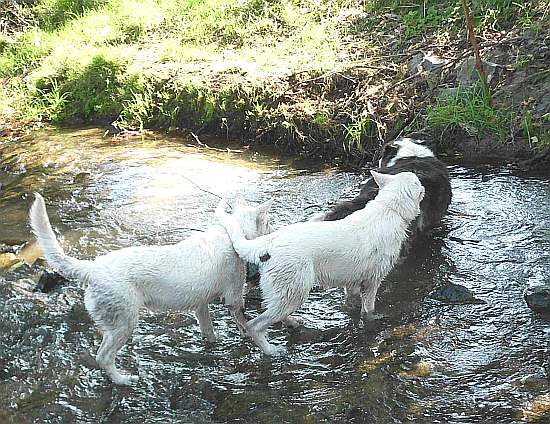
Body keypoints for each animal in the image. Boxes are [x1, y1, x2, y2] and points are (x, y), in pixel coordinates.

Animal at [28, 194, 274, 386]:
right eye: (269, 223)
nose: (274, 233)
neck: (230, 232)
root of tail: (92, 268)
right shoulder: (234, 297)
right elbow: (244, 322)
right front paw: (258, 341)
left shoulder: (201, 306)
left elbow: (208, 330)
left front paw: (213, 343)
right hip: (124, 323)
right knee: (103, 357)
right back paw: (123, 380)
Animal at [217, 171, 426, 356]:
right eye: (417, 181)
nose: (424, 183)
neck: (389, 208)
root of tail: (267, 242)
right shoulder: (372, 281)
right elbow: (369, 310)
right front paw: (372, 321)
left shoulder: (352, 283)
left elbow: (351, 303)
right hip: (295, 292)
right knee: (254, 325)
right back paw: (271, 351)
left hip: (287, 293)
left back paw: (292, 323)